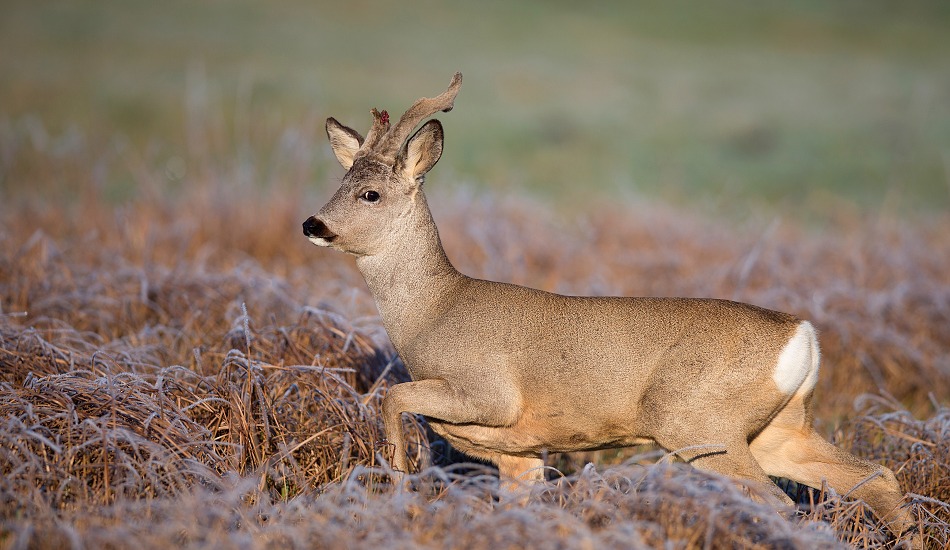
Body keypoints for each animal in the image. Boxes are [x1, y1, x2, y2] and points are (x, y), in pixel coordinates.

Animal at [304, 73, 924, 548]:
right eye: (340, 181)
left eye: (370, 194)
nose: (313, 224)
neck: (432, 312)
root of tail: (803, 334)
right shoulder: (518, 455)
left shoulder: (488, 393)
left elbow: (392, 397)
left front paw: (397, 482)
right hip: (779, 429)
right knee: (876, 476)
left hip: (698, 422)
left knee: (779, 501)